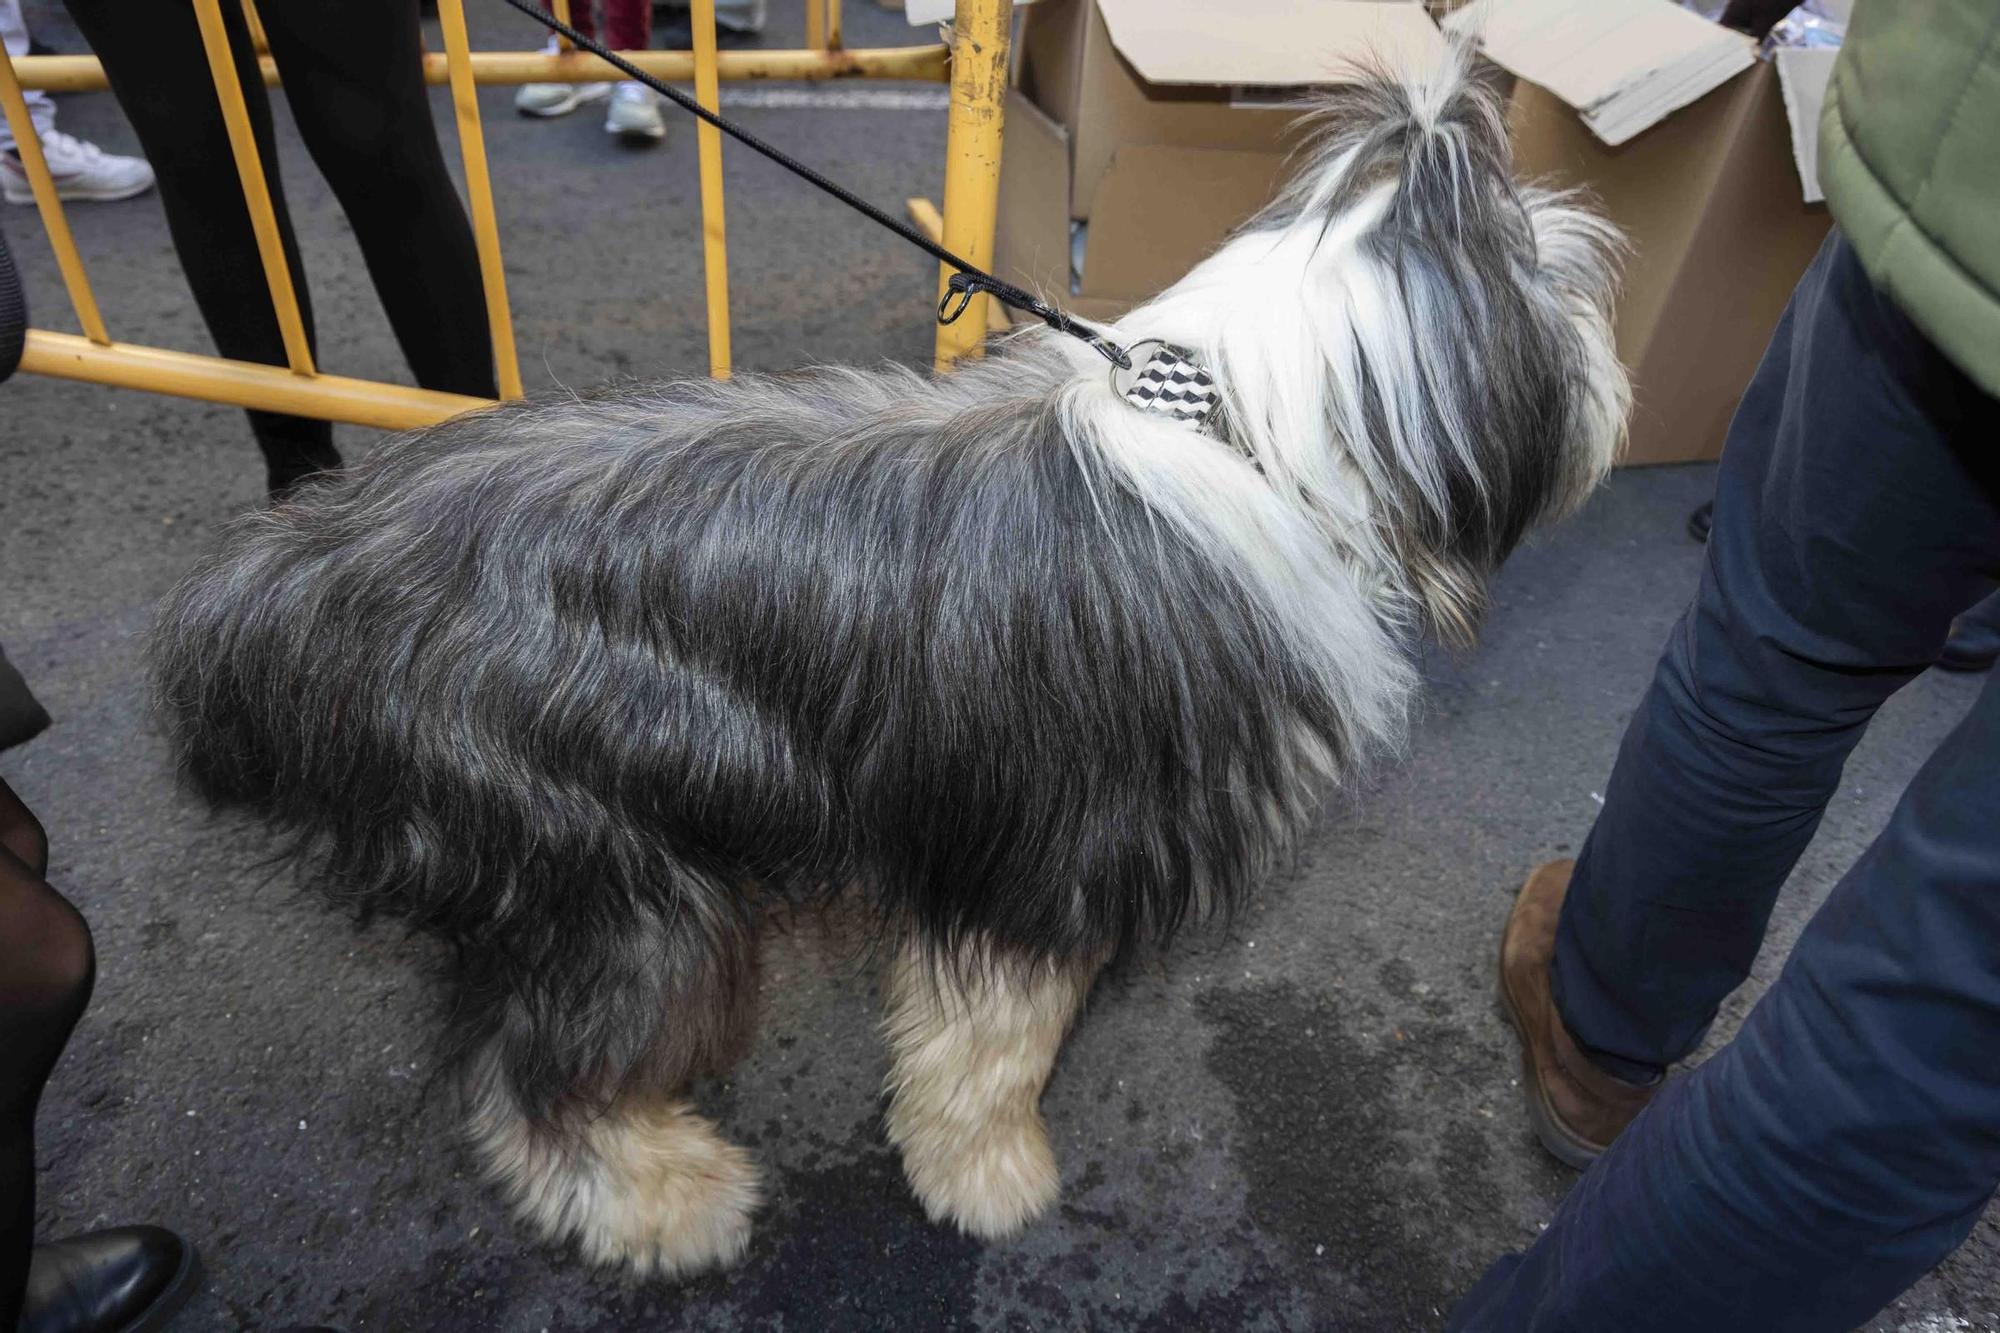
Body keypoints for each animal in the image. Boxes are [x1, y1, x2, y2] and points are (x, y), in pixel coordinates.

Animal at [152, 54, 1624, 1280]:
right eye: (1563, 286)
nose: (1619, 384)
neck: (1241, 429)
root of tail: (279, 572)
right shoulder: (1058, 843)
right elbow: (997, 1048)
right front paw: (987, 1177)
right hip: (599, 854)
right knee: (540, 1069)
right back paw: (664, 1199)